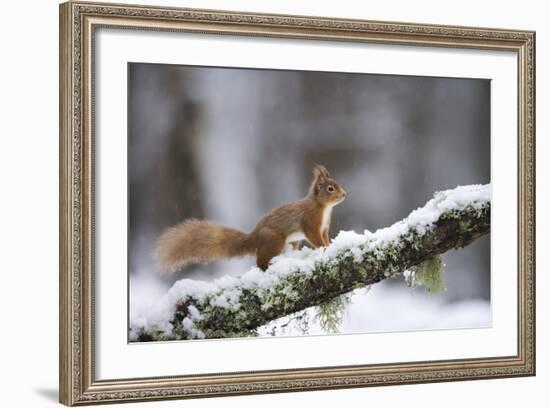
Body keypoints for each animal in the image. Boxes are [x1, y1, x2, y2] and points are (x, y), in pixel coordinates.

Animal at [155, 164, 348, 272]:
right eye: (330, 188)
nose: (344, 194)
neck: (323, 208)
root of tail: (253, 238)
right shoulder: (311, 223)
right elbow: (315, 238)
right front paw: (324, 248)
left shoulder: (324, 227)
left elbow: (325, 237)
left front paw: (330, 245)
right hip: (274, 240)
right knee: (260, 261)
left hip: (289, 242)